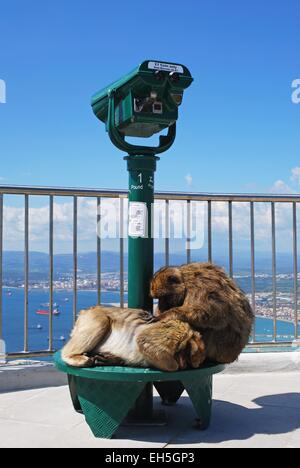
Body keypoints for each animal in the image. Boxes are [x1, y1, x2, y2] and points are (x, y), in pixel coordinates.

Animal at [61, 306, 206, 372]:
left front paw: (107, 358)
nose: (183, 364)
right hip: (93, 316)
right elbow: (143, 339)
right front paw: (175, 366)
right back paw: (74, 357)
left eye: (187, 362)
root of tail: (85, 311)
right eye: (186, 355)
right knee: (102, 322)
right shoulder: (174, 332)